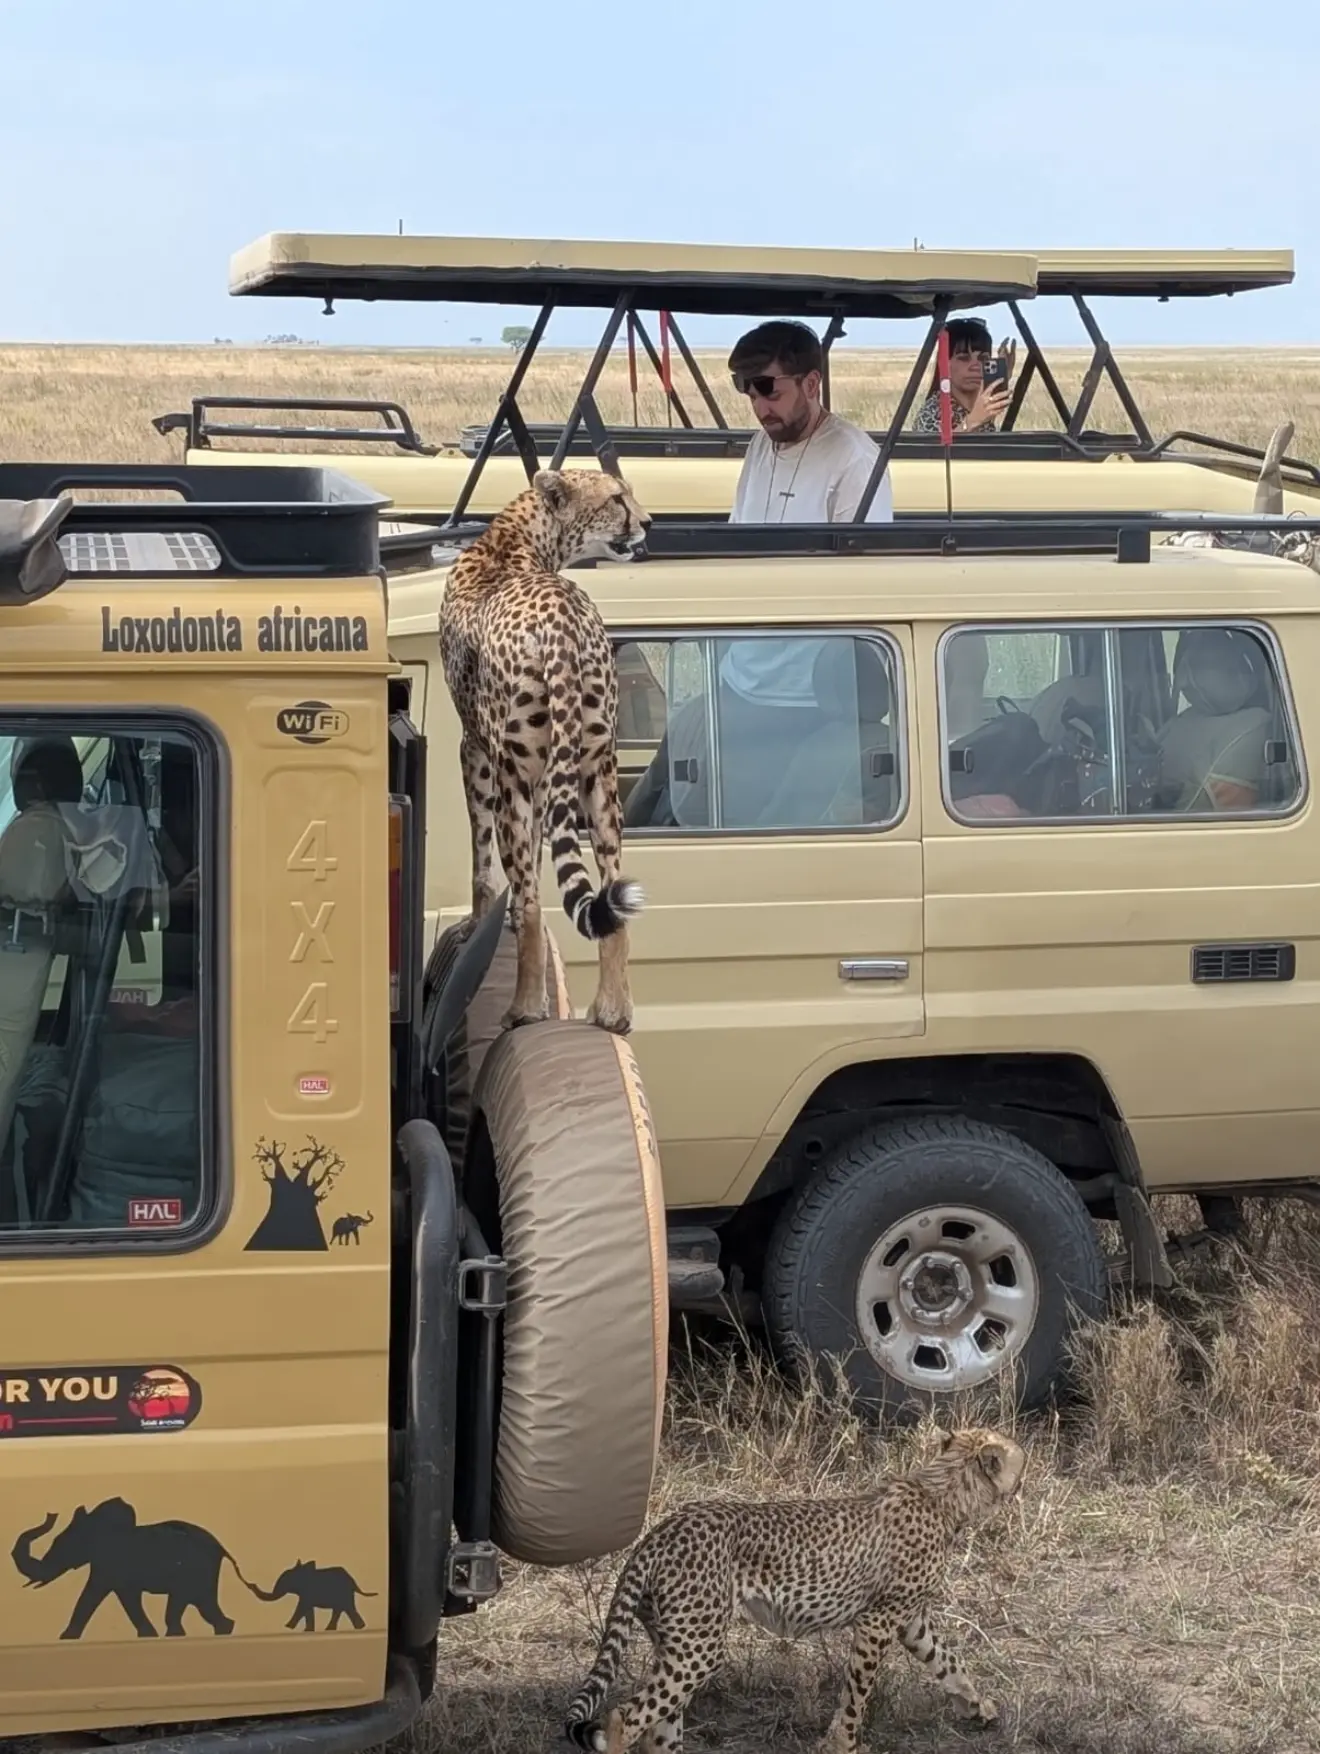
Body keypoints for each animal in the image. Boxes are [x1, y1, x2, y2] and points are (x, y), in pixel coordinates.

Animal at [439, 467, 652, 1034]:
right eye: (617, 497)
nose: (647, 521)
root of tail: (561, 616)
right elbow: (535, 855)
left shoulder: (476, 750)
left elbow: (485, 860)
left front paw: (478, 925)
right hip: (599, 776)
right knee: (611, 893)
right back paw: (612, 1012)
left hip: (514, 774)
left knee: (536, 900)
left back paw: (525, 1008)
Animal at [564, 1425, 1026, 1753]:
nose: (1029, 1461)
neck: (945, 1492)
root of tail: (659, 1532)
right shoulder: (877, 1622)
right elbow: (857, 1693)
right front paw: (844, 1744)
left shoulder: (909, 1619)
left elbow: (948, 1662)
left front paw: (979, 1708)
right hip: (699, 1647)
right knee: (626, 1718)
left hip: (676, 1642)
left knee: (660, 1724)